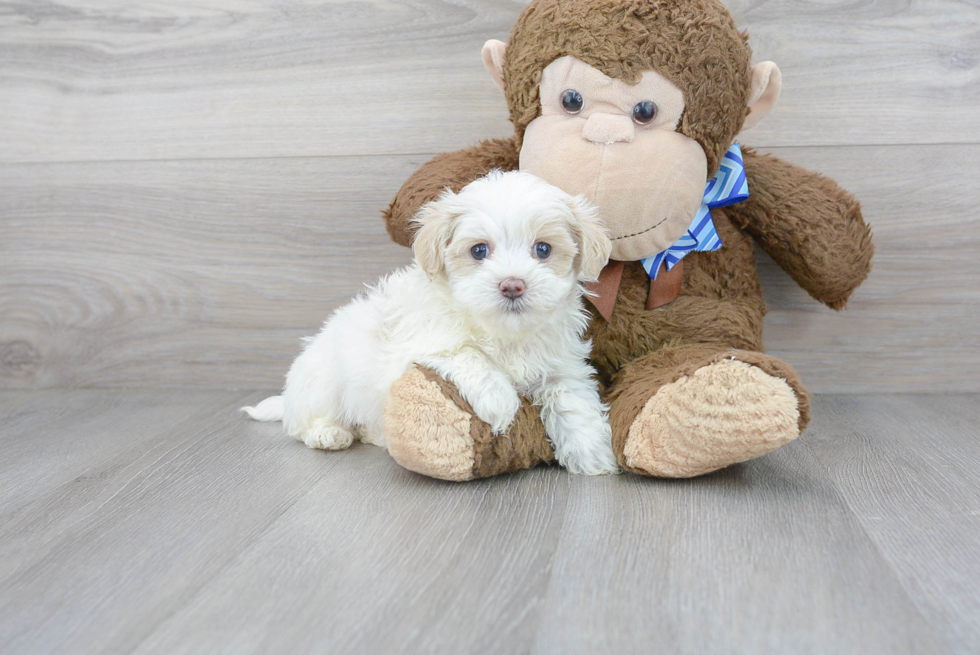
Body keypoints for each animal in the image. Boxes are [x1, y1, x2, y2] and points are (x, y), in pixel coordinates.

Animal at [243, 172, 620, 474]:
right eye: (479, 251)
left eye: (543, 249)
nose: (512, 285)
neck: (503, 333)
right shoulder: (420, 343)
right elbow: (467, 353)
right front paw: (500, 402)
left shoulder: (561, 365)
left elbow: (572, 400)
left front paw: (593, 454)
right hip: (322, 381)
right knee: (303, 423)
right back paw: (328, 433)